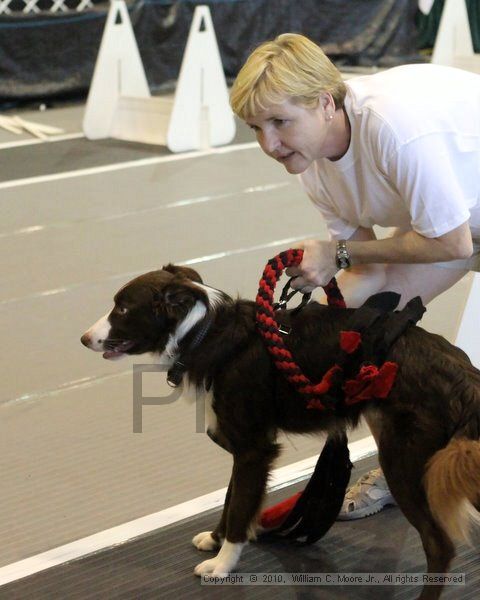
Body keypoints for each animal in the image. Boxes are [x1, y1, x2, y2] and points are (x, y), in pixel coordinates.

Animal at [80, 264, 480, 596]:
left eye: (122, 309)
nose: (84, 339)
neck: (203, 335)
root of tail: (463, 375)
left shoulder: (254, 450)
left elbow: (240, 508)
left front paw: (222, 564)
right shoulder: (245, 448)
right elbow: (231, 500)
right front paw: (215, 540)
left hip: (405, 463)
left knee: (439, 546)